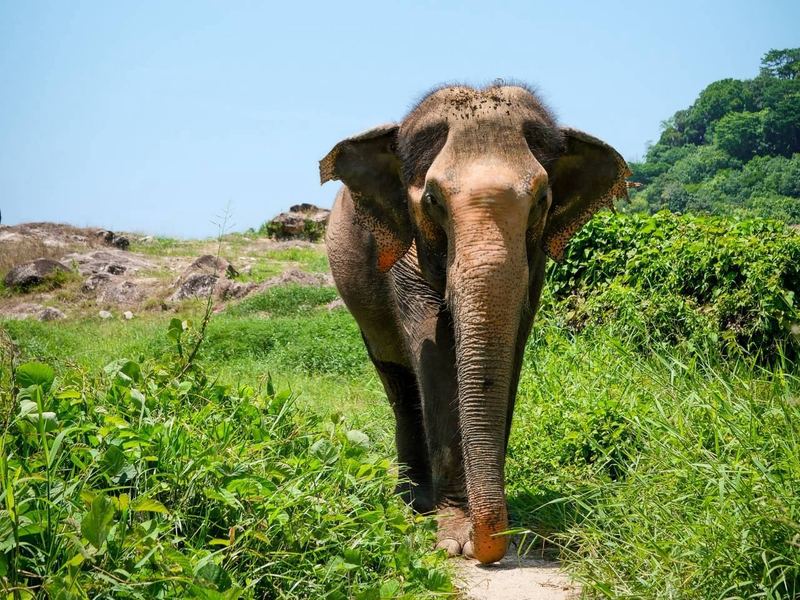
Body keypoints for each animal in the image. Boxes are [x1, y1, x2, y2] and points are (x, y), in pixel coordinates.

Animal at [319, 84, 630, 564]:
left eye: (541, 200)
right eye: (433, 201)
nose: (486, 547)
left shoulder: (533, 267)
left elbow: (510, 354)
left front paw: (500, 532)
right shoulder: (406, 252)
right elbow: (432, 353)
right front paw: (452, 538)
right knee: (400, 385)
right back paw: (414, 505)